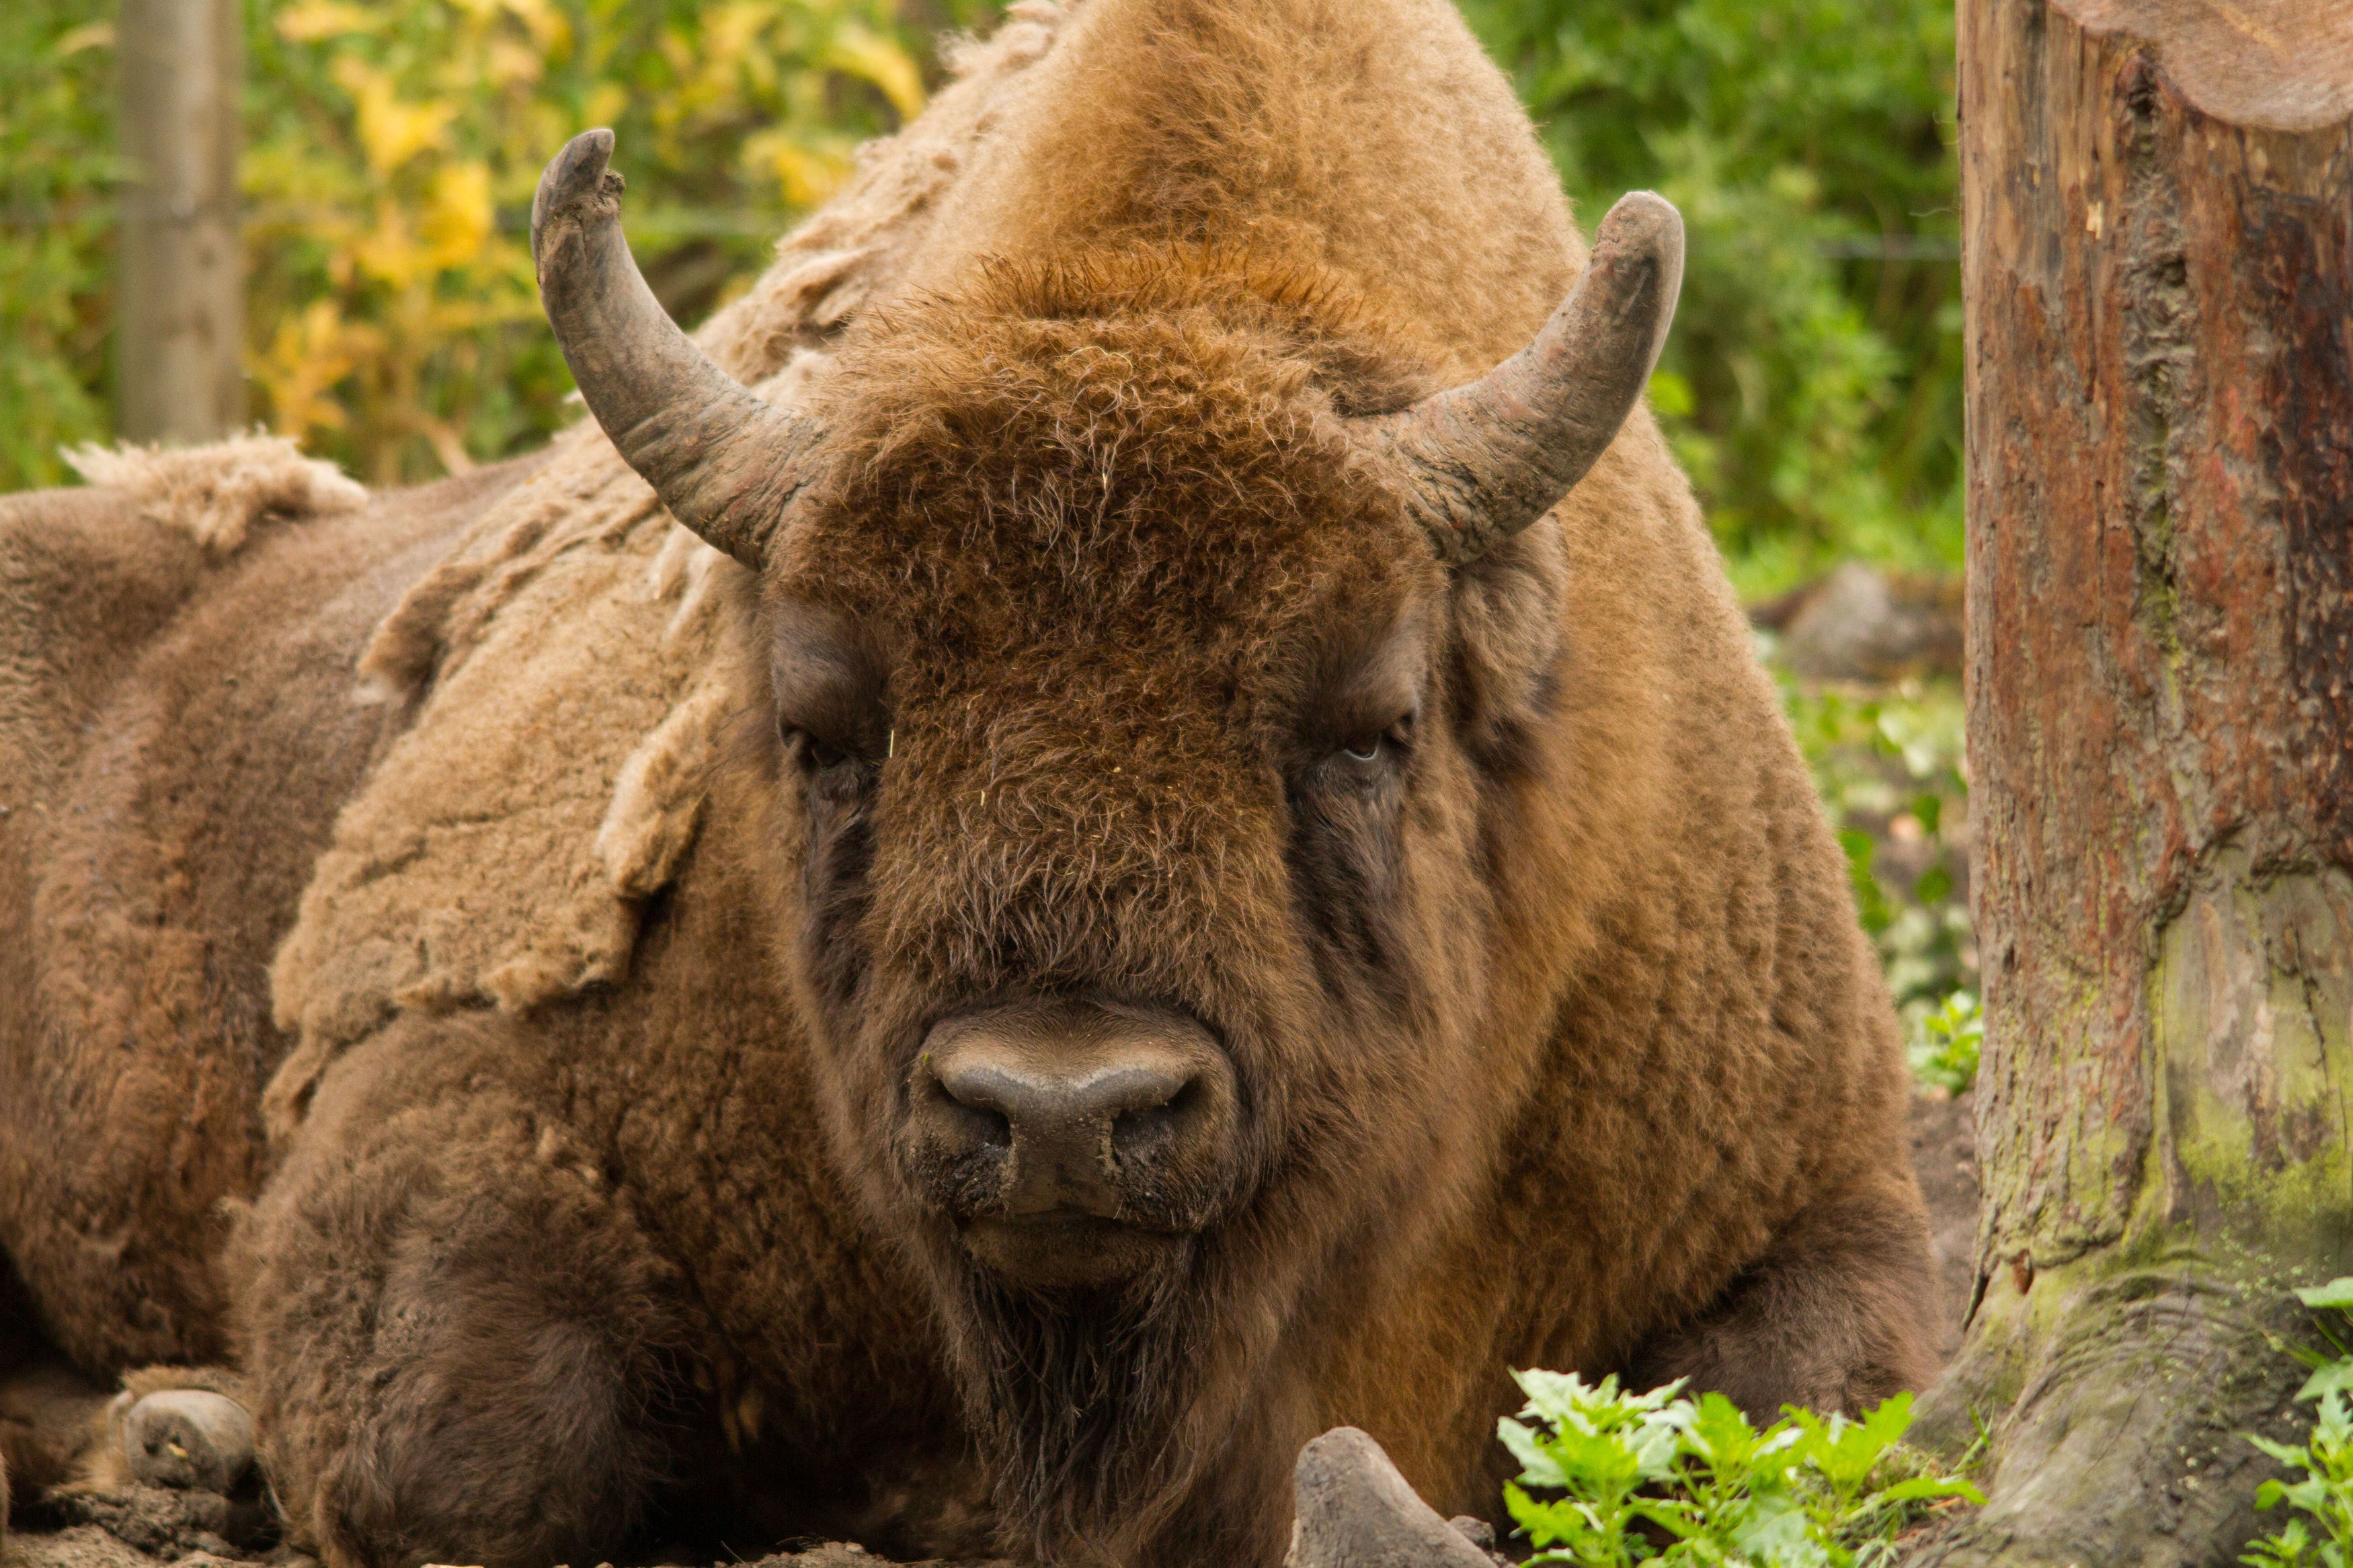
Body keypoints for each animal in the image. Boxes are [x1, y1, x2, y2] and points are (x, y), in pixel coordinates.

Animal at [0, 3, 1929, 1568]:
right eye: (817, 723)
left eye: (1371, 723)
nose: (1062, 1109)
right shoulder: (448, 1102)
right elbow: (476, 1461)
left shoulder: (1816, 1190)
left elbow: (1793, 1418)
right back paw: (182, 1437)